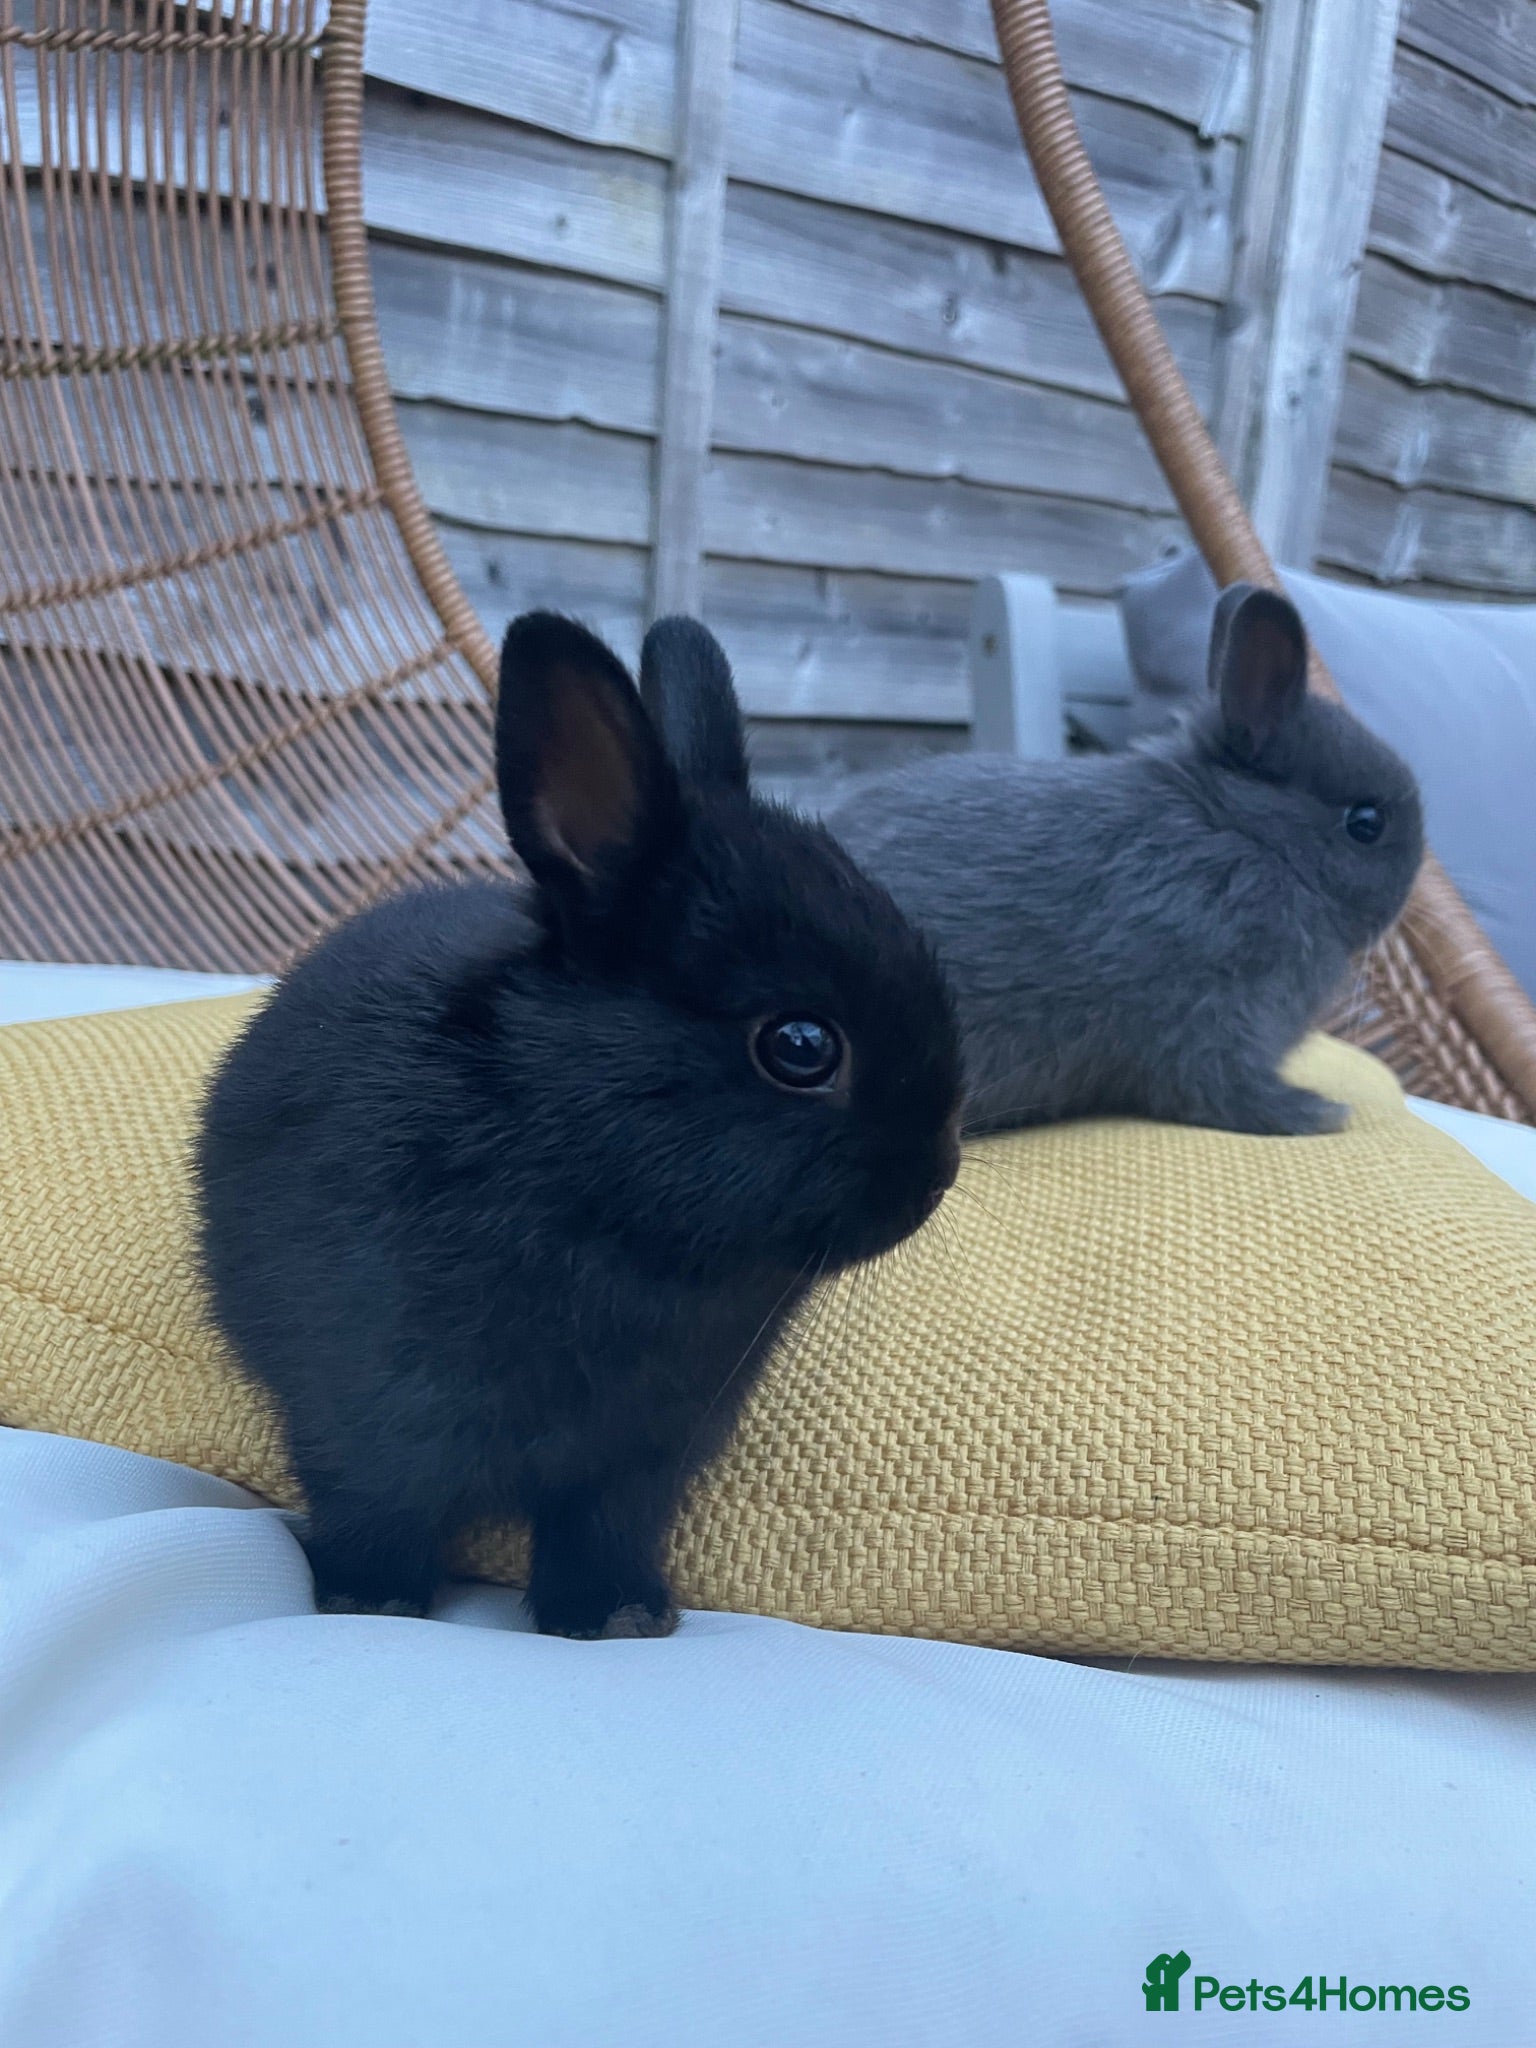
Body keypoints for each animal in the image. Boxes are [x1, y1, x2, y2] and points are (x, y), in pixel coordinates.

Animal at [196, 613, 962, 1639]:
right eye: (801, 1046)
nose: (938, 1173)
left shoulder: (642, 1455)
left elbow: (602, 1525)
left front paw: (617, 1615)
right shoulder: (364, 1410)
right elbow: (374, 1502)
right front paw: (374, 1599)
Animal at [825, 583, 1424, 1139]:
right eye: (1366, 823)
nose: (1409, 893)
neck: (1247, 835)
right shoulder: (1216, 1014)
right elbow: (1220, 1090)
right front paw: (1316, 1113)